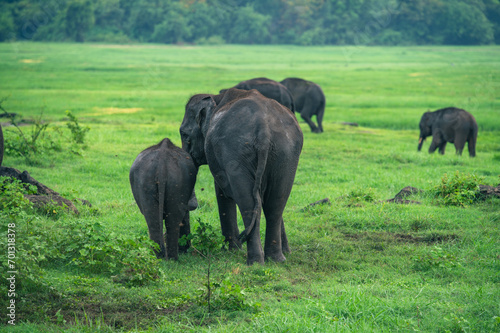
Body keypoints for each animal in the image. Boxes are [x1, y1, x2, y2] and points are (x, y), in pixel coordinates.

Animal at [181, 88, 304, 264]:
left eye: (184, 134)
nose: (192, 204)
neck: (216, 98)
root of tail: (263, 129)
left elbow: (222, 192)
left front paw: (232, 250)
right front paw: (287, 251)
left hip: (237, 151)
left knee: (248, 203)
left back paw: (255, 262)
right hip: (285, 153)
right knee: (275, 203)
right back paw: (276, 259)